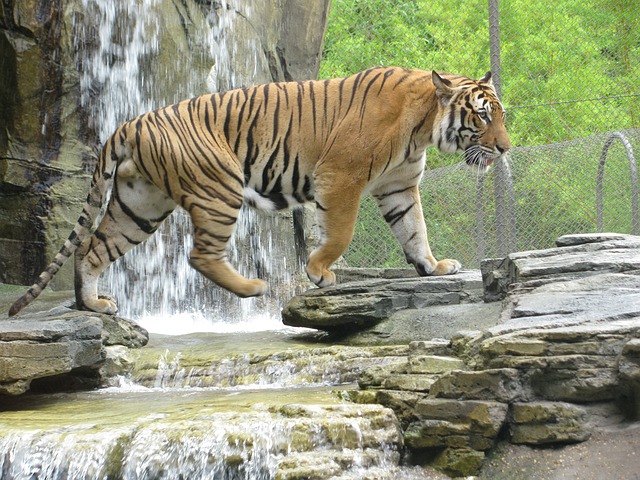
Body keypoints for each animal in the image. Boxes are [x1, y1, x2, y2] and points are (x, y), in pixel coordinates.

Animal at [8, 65, 510, 316]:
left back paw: (92, 304)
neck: (424, 125)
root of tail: (129, 122)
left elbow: (414, 230)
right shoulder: (342, 177)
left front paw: (433, 266)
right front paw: (319, 272)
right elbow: (340, 233)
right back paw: (253, 288)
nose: (505, 148)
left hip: (139, 205)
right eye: (484, 116)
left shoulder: (399, 185)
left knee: (91, 248)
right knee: (199, 255)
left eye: (500, 116)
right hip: (219, 187)